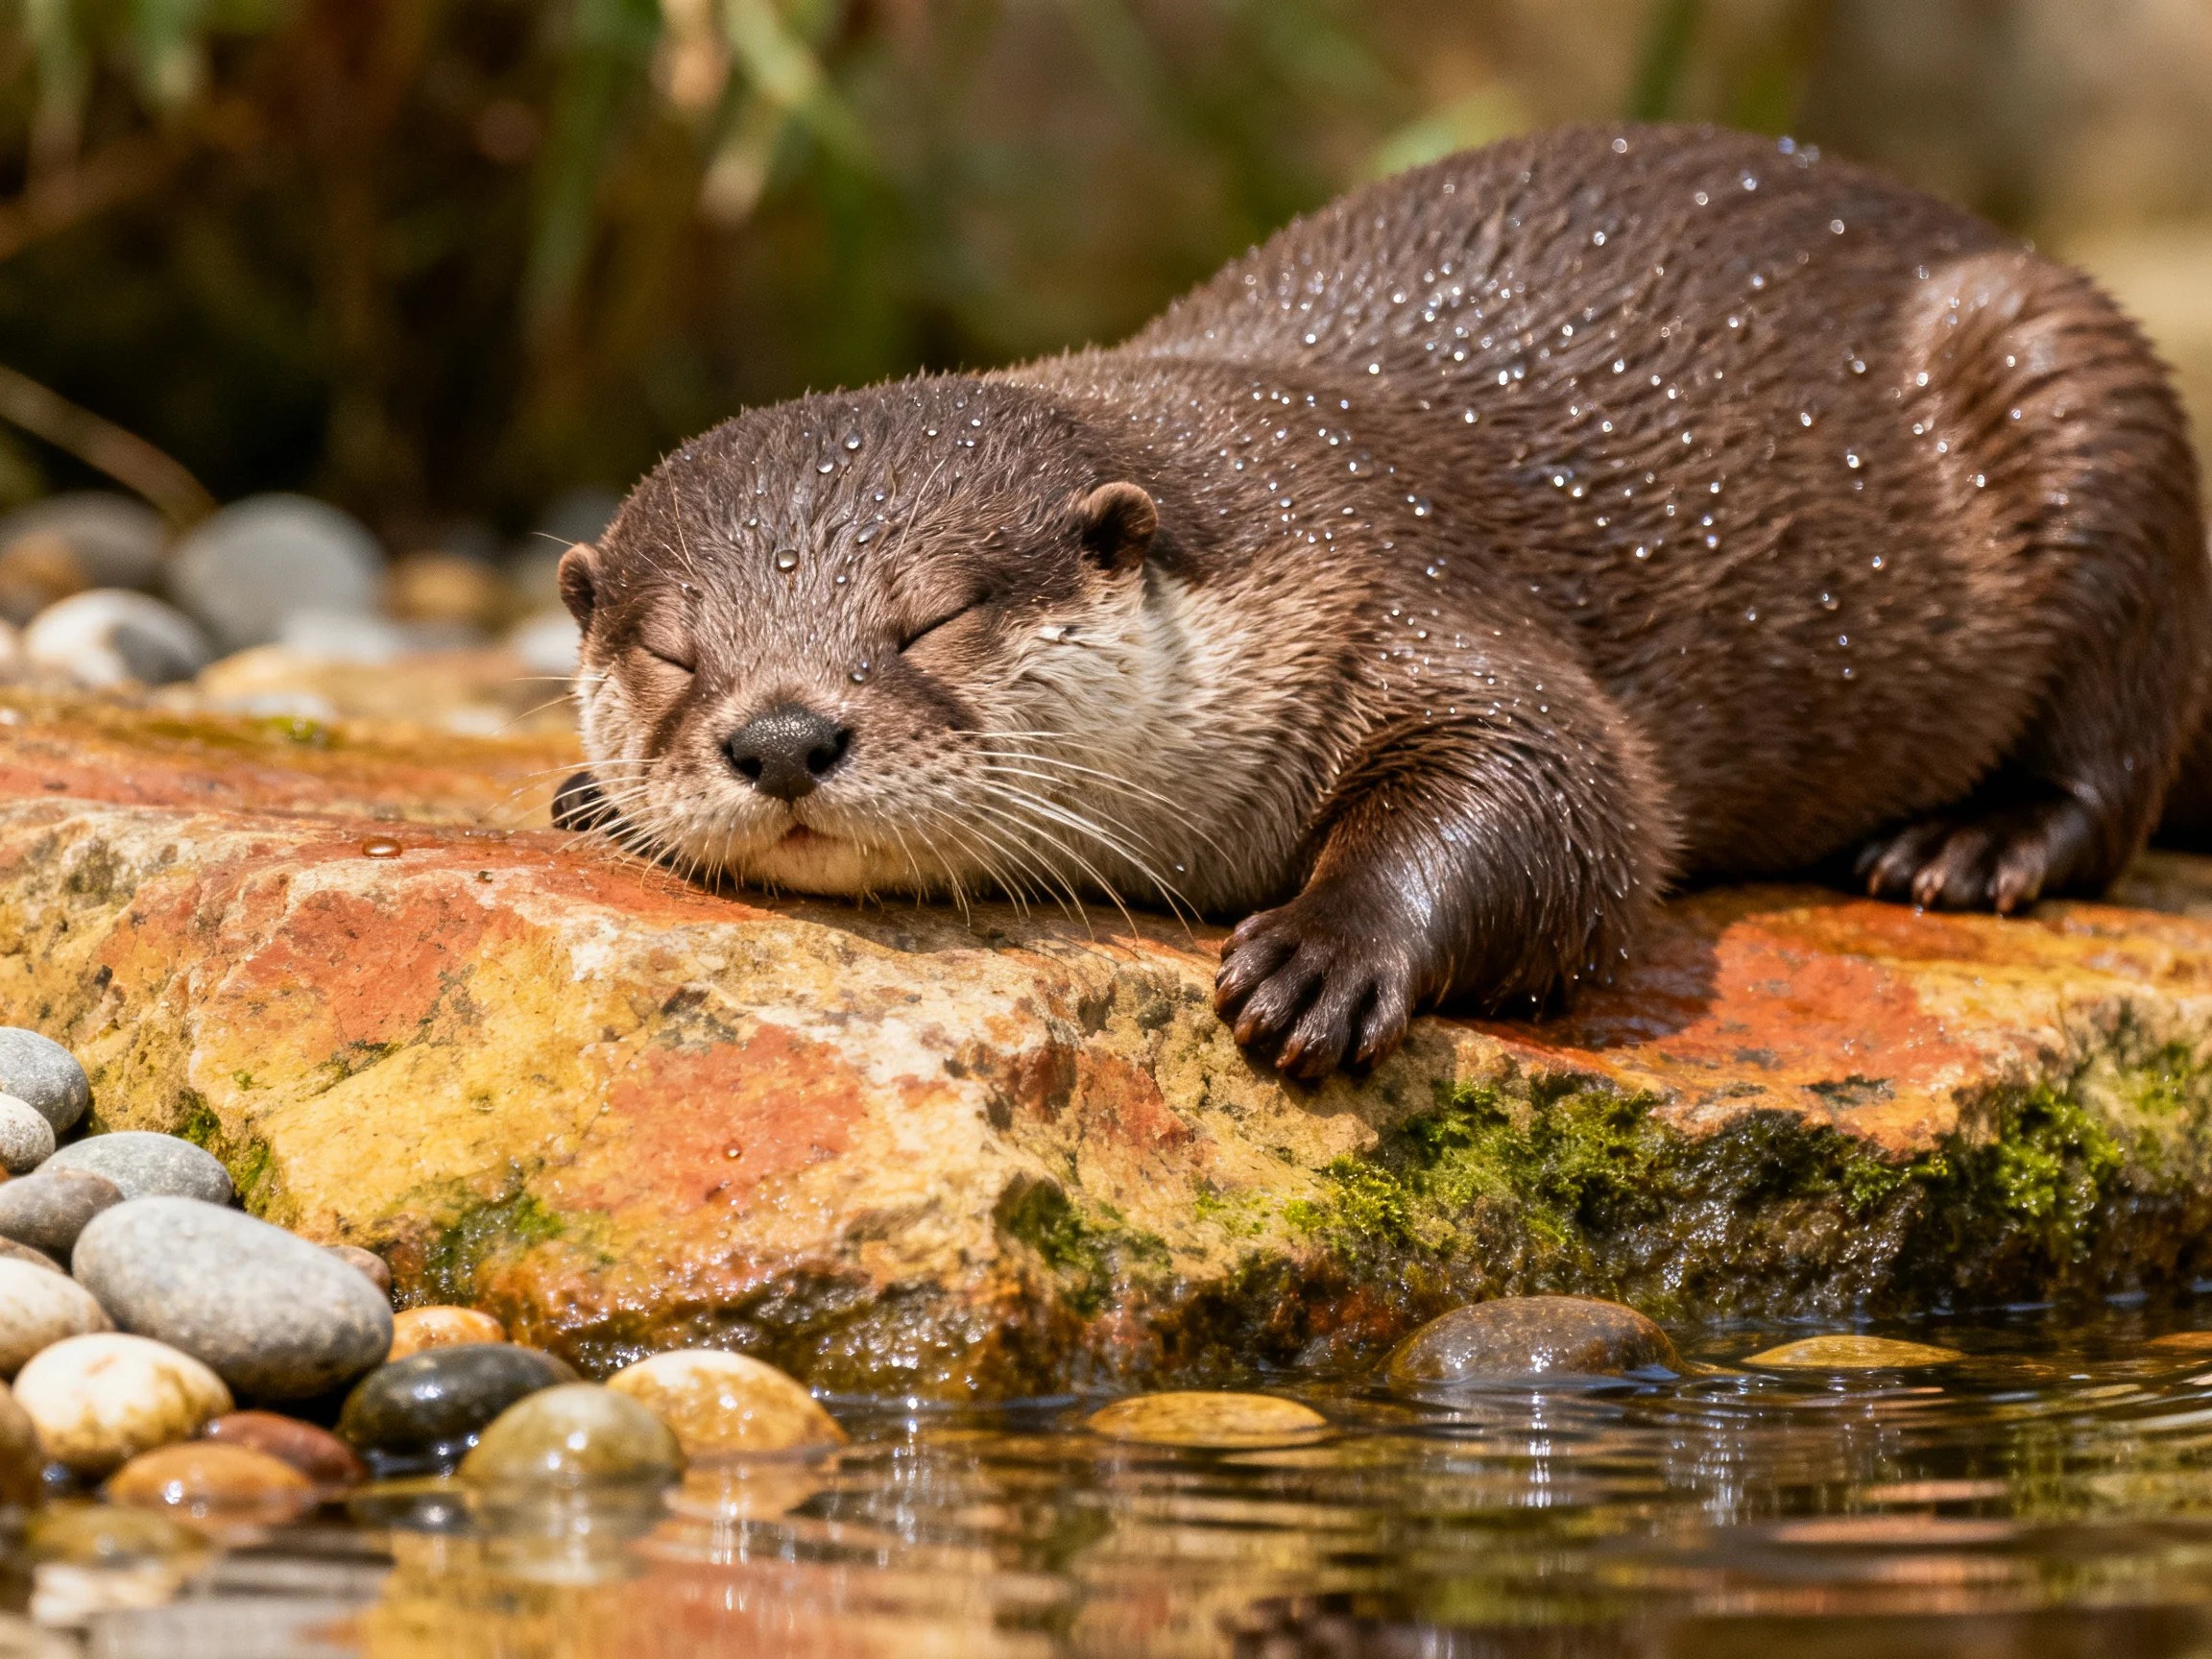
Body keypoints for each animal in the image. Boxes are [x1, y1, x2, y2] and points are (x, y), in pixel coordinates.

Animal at [555, 124, 2208, 1080]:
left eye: (930, 622)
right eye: (673, 652)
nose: (780, 737)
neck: (1262, 532)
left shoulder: (1409, 585)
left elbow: (1578, 801)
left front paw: (1321, 954)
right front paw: (584, 795)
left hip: (2076, 383)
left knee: (2118, 752)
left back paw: (1969, 847)